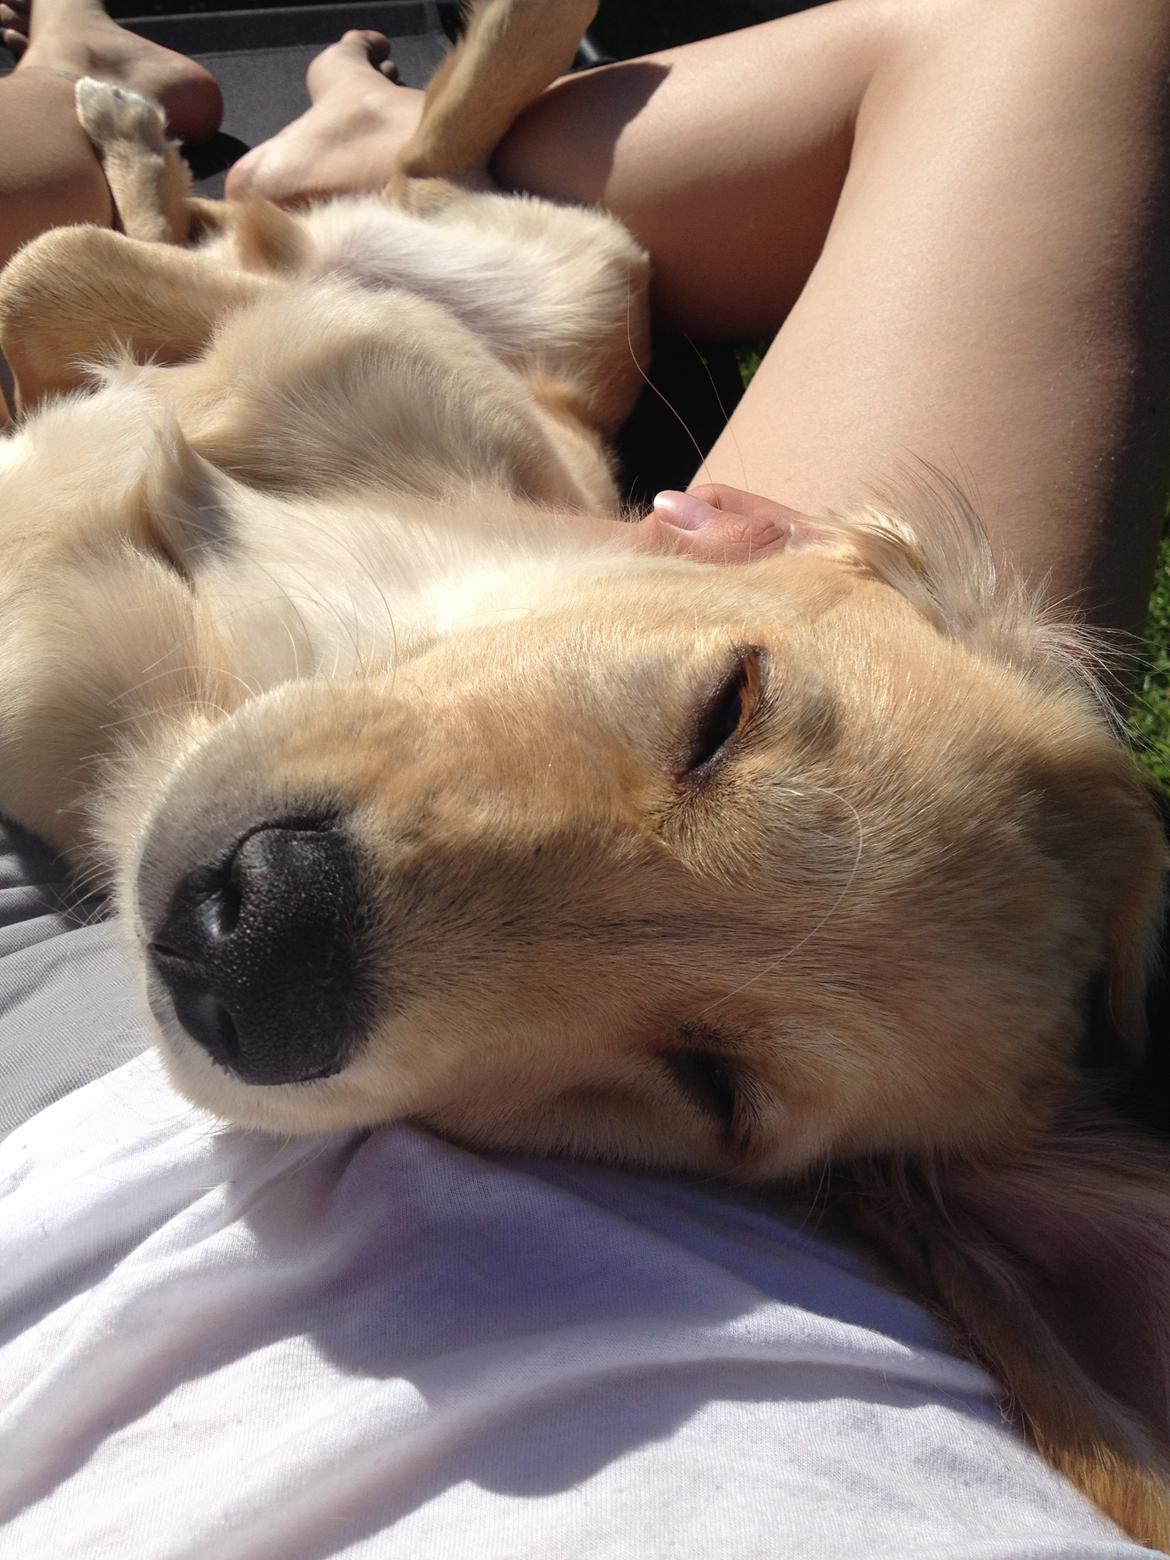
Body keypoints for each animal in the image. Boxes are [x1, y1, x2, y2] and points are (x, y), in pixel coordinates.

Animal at [0, 0, 1166, 1541]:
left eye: (710, 1088)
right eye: (727, 709)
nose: (253, 944)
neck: (253, 643)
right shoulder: (331, 360)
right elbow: (47, 278)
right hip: (568, 283)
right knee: (312, 199)